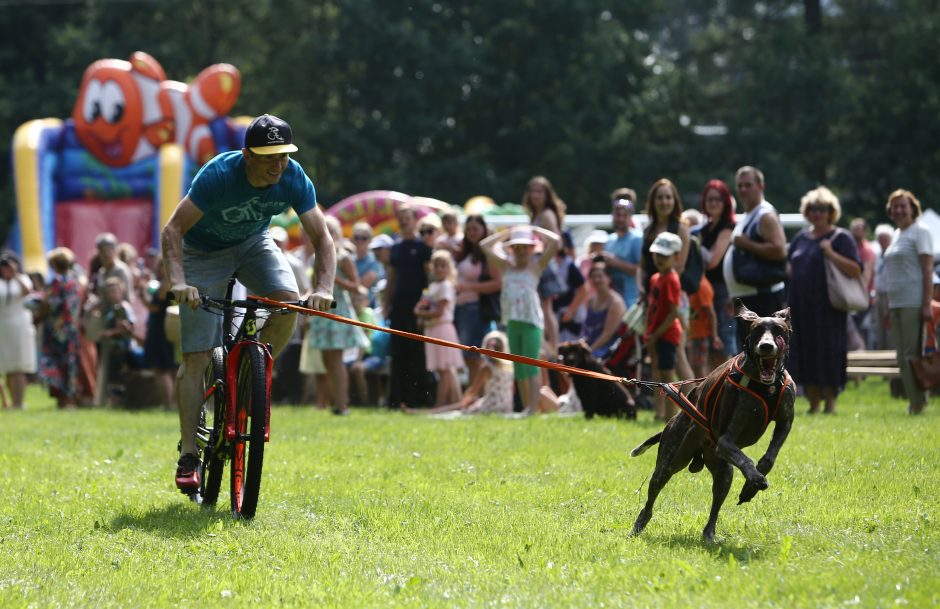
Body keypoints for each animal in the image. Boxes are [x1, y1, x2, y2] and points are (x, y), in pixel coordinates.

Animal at [628, 302, 796, 540]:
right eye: (756, 330)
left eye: (778, 330)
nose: (766, 346)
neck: (767, 386)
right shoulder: (726, 441)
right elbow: (747, 461)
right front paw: (755, 479)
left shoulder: (784, 422)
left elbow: (768, 459)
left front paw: (750, 486)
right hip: (669, 463)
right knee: (651, 500)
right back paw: (639, 525)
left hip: (724, 472)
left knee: (714, 509)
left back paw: (709, 535)